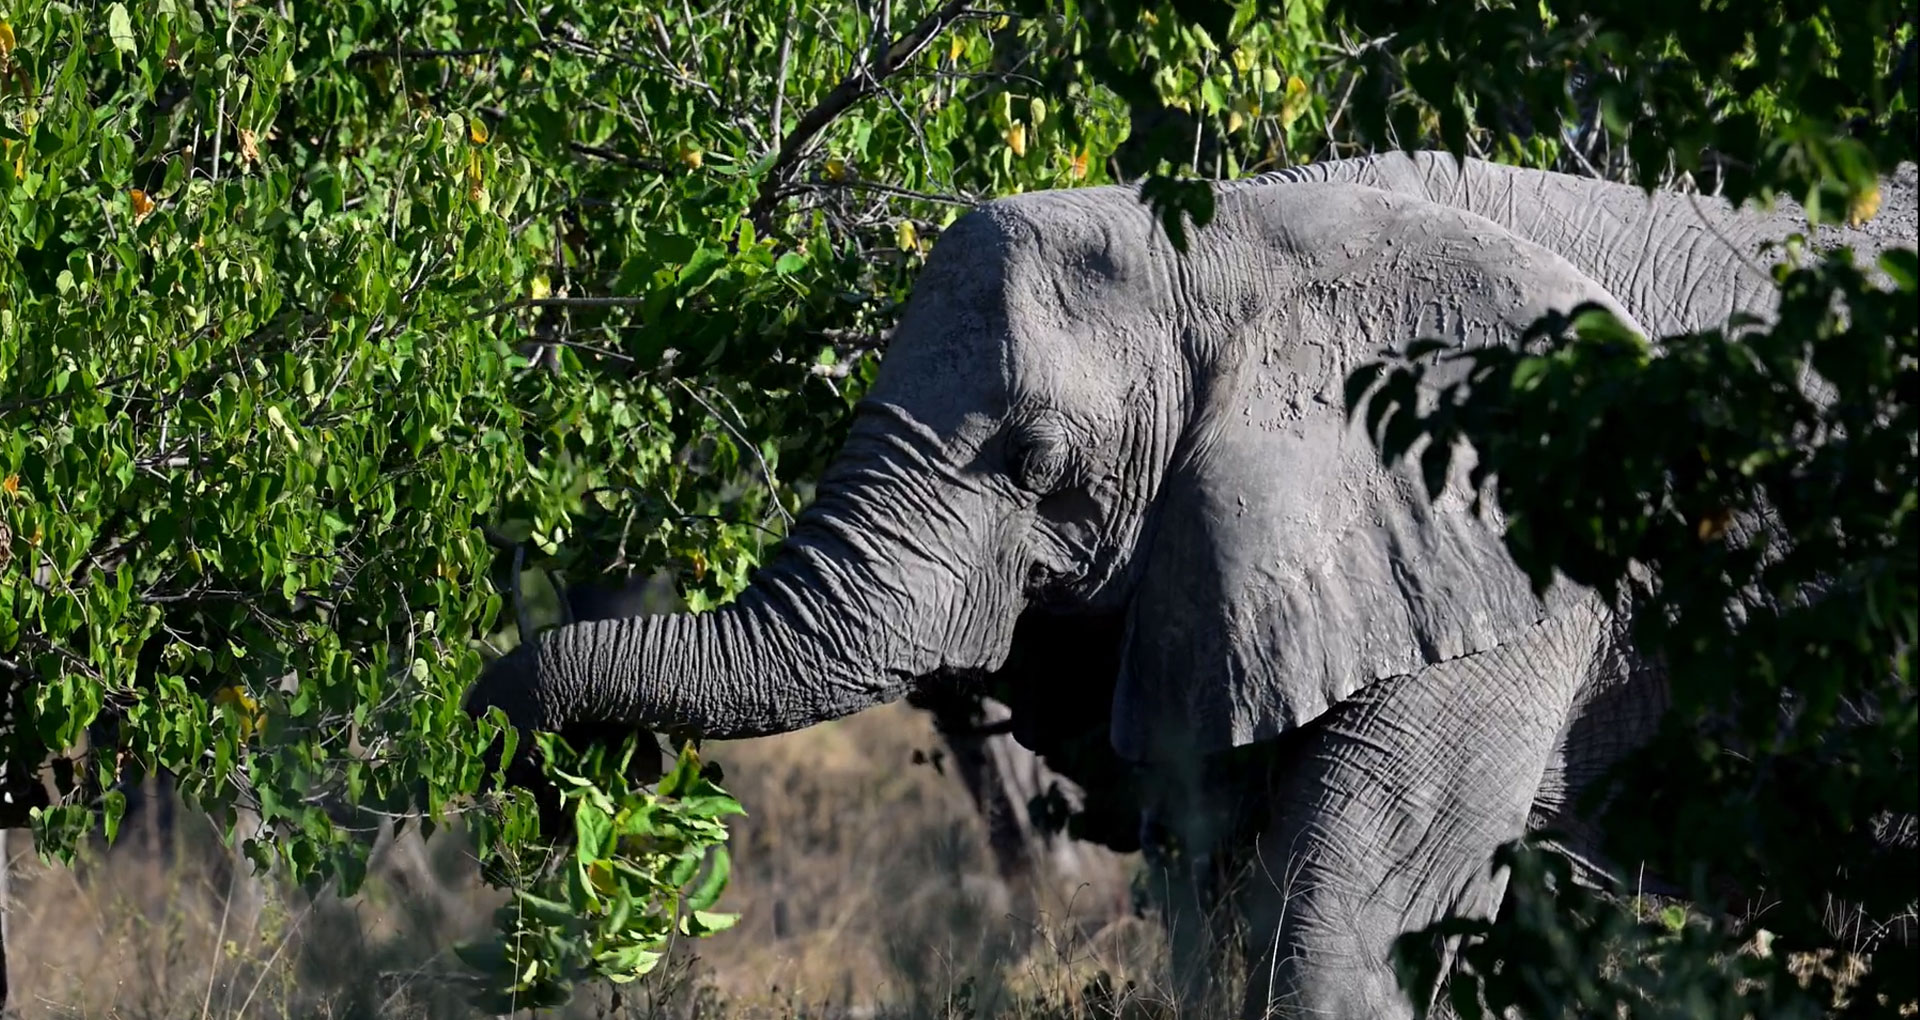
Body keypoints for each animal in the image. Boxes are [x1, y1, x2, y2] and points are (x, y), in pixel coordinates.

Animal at [469, 159, 1916, 1019]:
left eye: (1037, 463)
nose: (563, 782)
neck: (1244, 239)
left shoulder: (1520, 561)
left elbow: (1346, 935)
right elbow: (1211, 899)